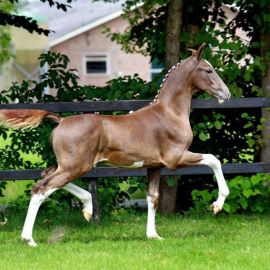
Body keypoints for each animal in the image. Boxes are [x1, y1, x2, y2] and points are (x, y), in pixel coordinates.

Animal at [0, 42, 230, 247]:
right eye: (208, 70)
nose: (226, 94)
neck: (169, 113)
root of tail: (61, 120)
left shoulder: (155, 166)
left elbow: (152, 198)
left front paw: (153, 236)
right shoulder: (176, 158)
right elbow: (214, 160)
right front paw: (217, 205)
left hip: (69, 165)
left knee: (45, 175)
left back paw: (87, 207)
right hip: (76, 166)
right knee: (42, 188)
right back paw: (29, 239)